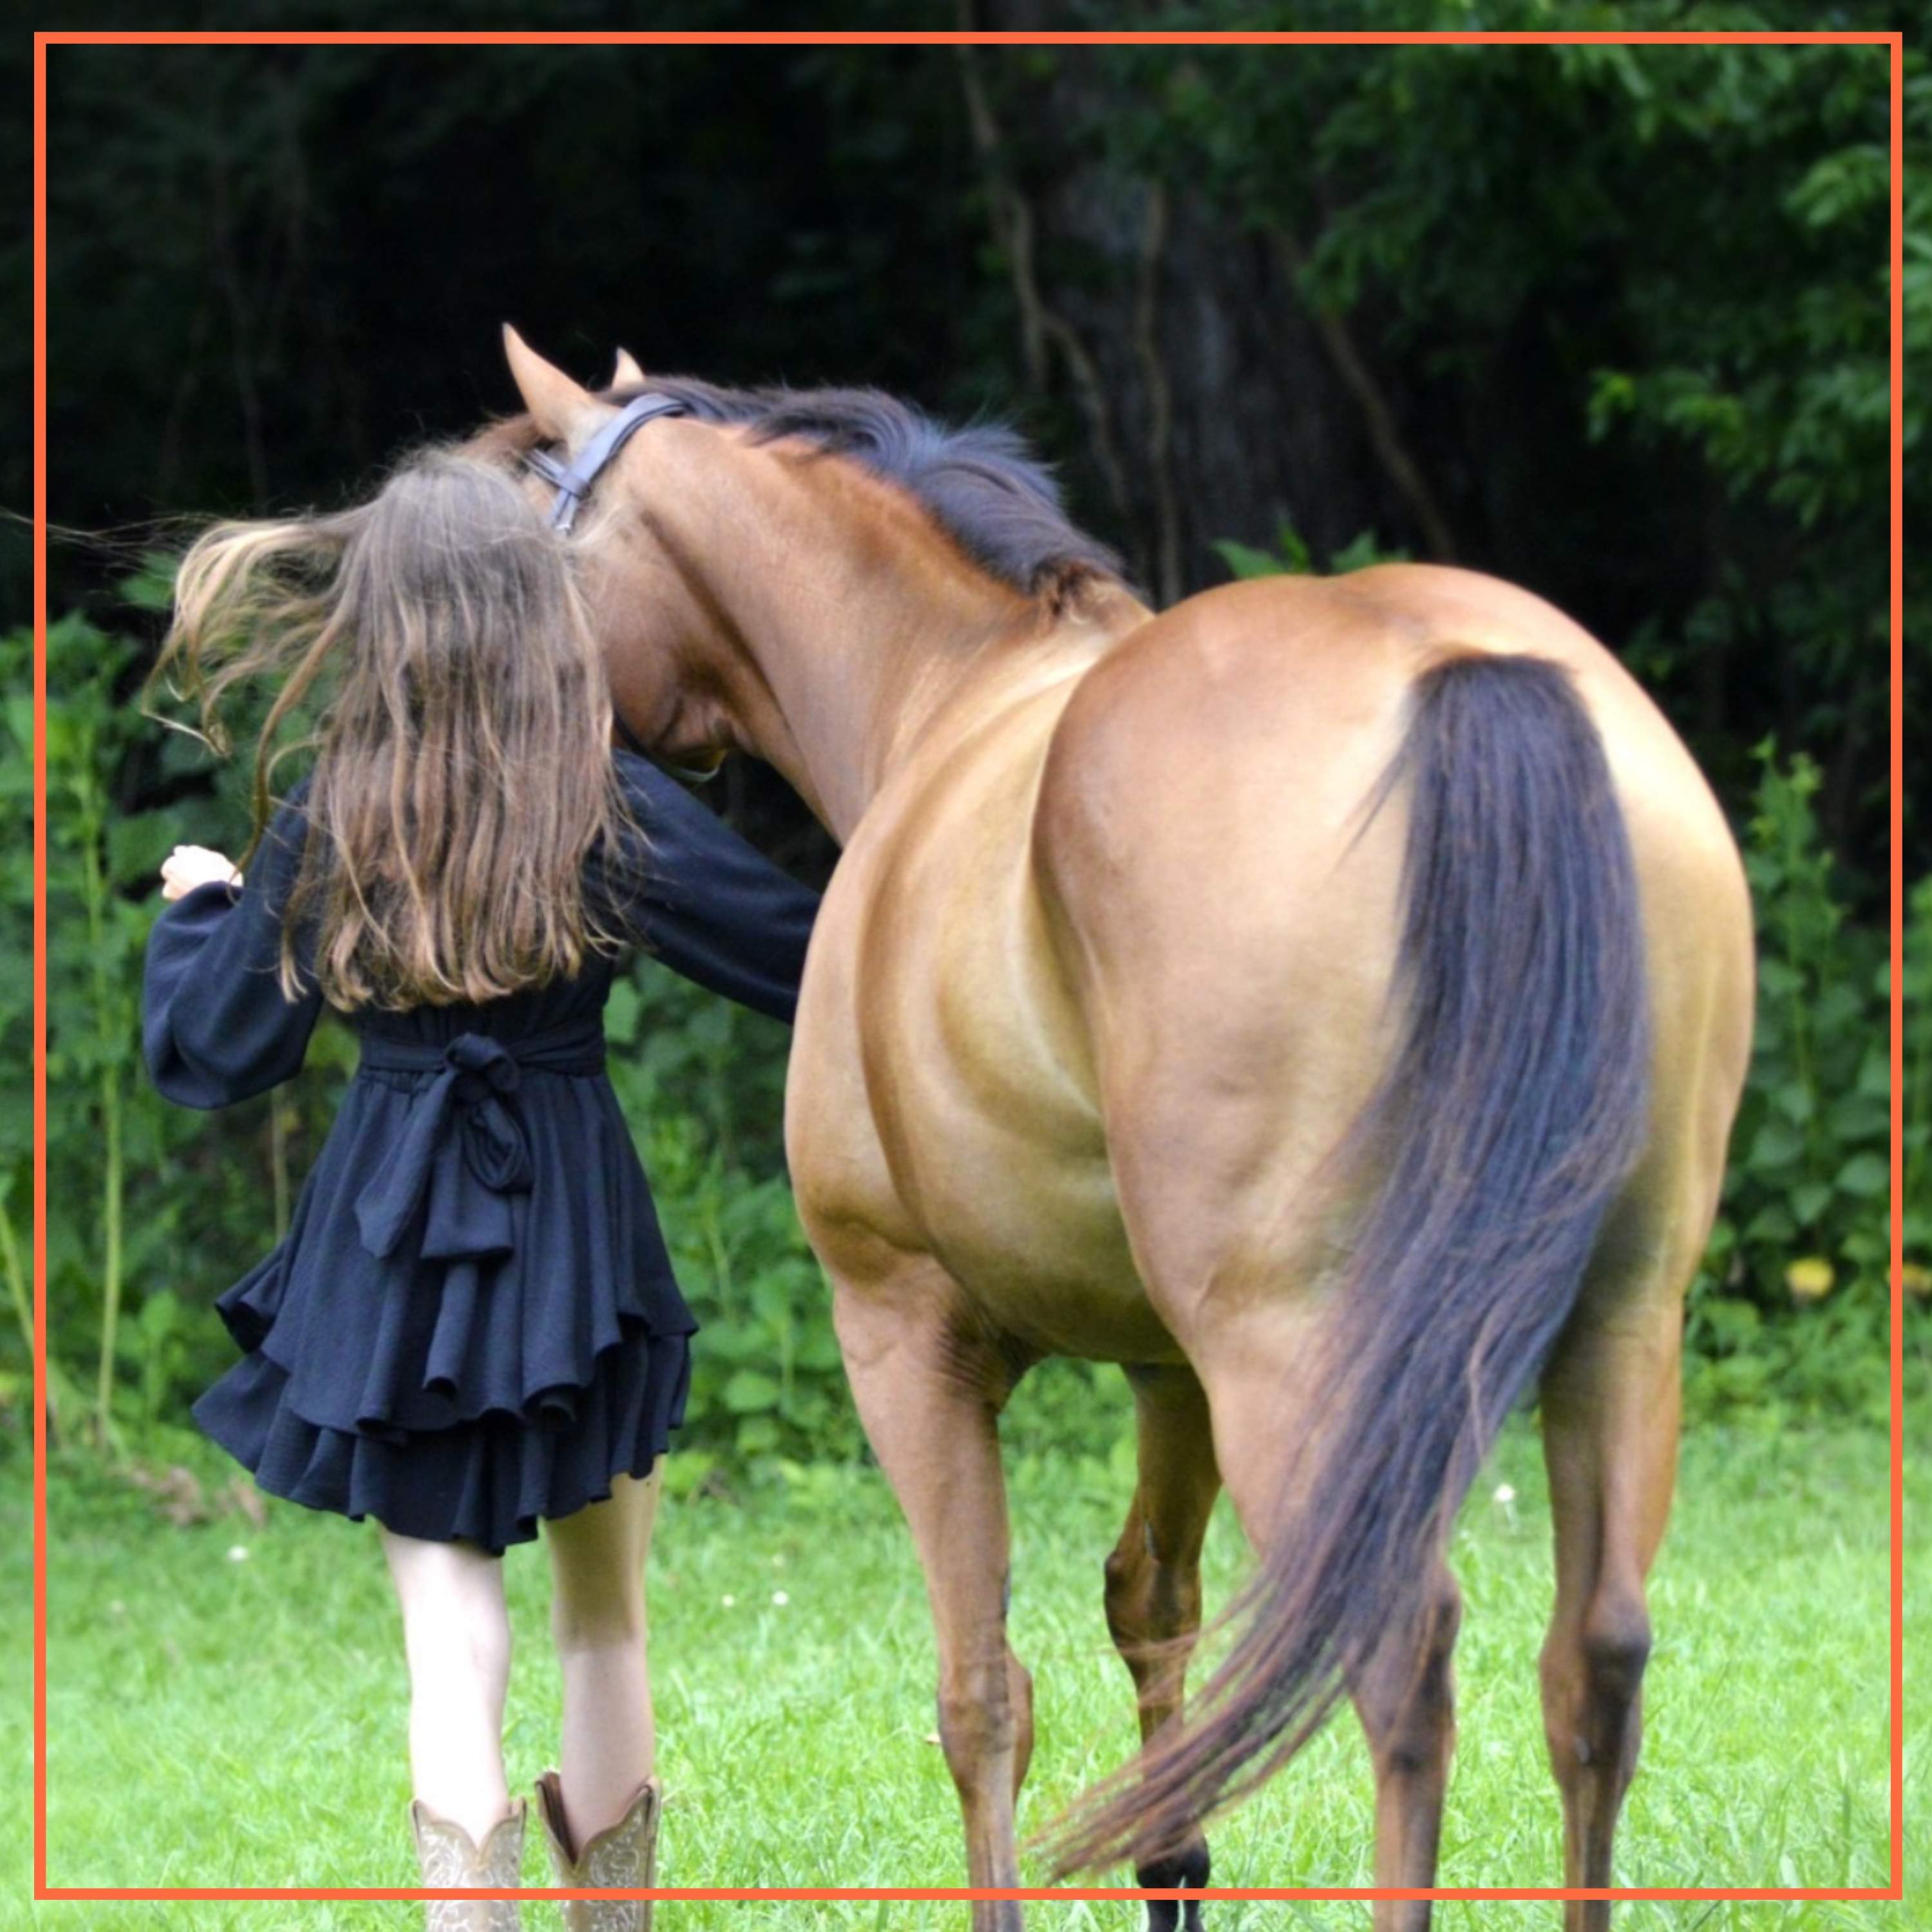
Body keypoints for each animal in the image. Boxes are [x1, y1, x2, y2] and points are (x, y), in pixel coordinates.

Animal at [475, 329, 1755, 1932]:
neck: (945, 694)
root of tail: (1452, 666)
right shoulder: (1165, 1369)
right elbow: (1151, 1609)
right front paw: (1173, 1870)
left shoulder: (907, 1337)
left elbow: (981, 1696)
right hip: (1621, 1324)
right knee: (1596, 1663)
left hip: (1298, 1356)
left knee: (1401, 1658)